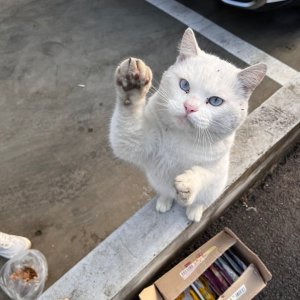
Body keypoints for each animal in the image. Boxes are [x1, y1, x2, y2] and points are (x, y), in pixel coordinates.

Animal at [109, 28, 266, 221]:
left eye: (215, 101)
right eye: (184, 85)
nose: (189, 107)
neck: (181, 137)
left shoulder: (217, 168)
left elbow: (206, 174)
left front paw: (189, 183)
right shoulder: (137, 143)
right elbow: (127, 129)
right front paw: (131, 85)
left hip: (214, 190)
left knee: (202, 200)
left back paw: (194, 211)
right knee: (165, 191)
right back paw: (164, 201)